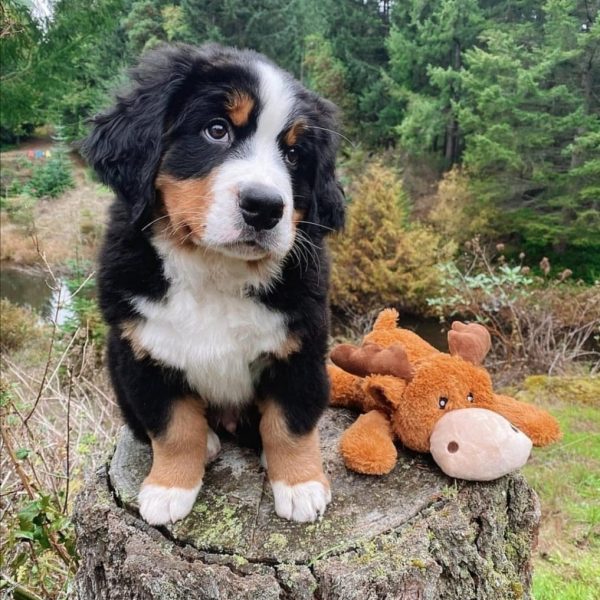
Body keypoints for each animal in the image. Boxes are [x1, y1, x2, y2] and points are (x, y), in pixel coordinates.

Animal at [85, 44, 346, 524]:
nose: (265, 207)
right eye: (216, 130)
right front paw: (169, 489)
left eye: (294, 155)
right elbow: (173, 426)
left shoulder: (301, 347)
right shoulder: (143, 352)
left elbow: (291, 422)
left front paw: (300, 485)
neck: (214, 271)